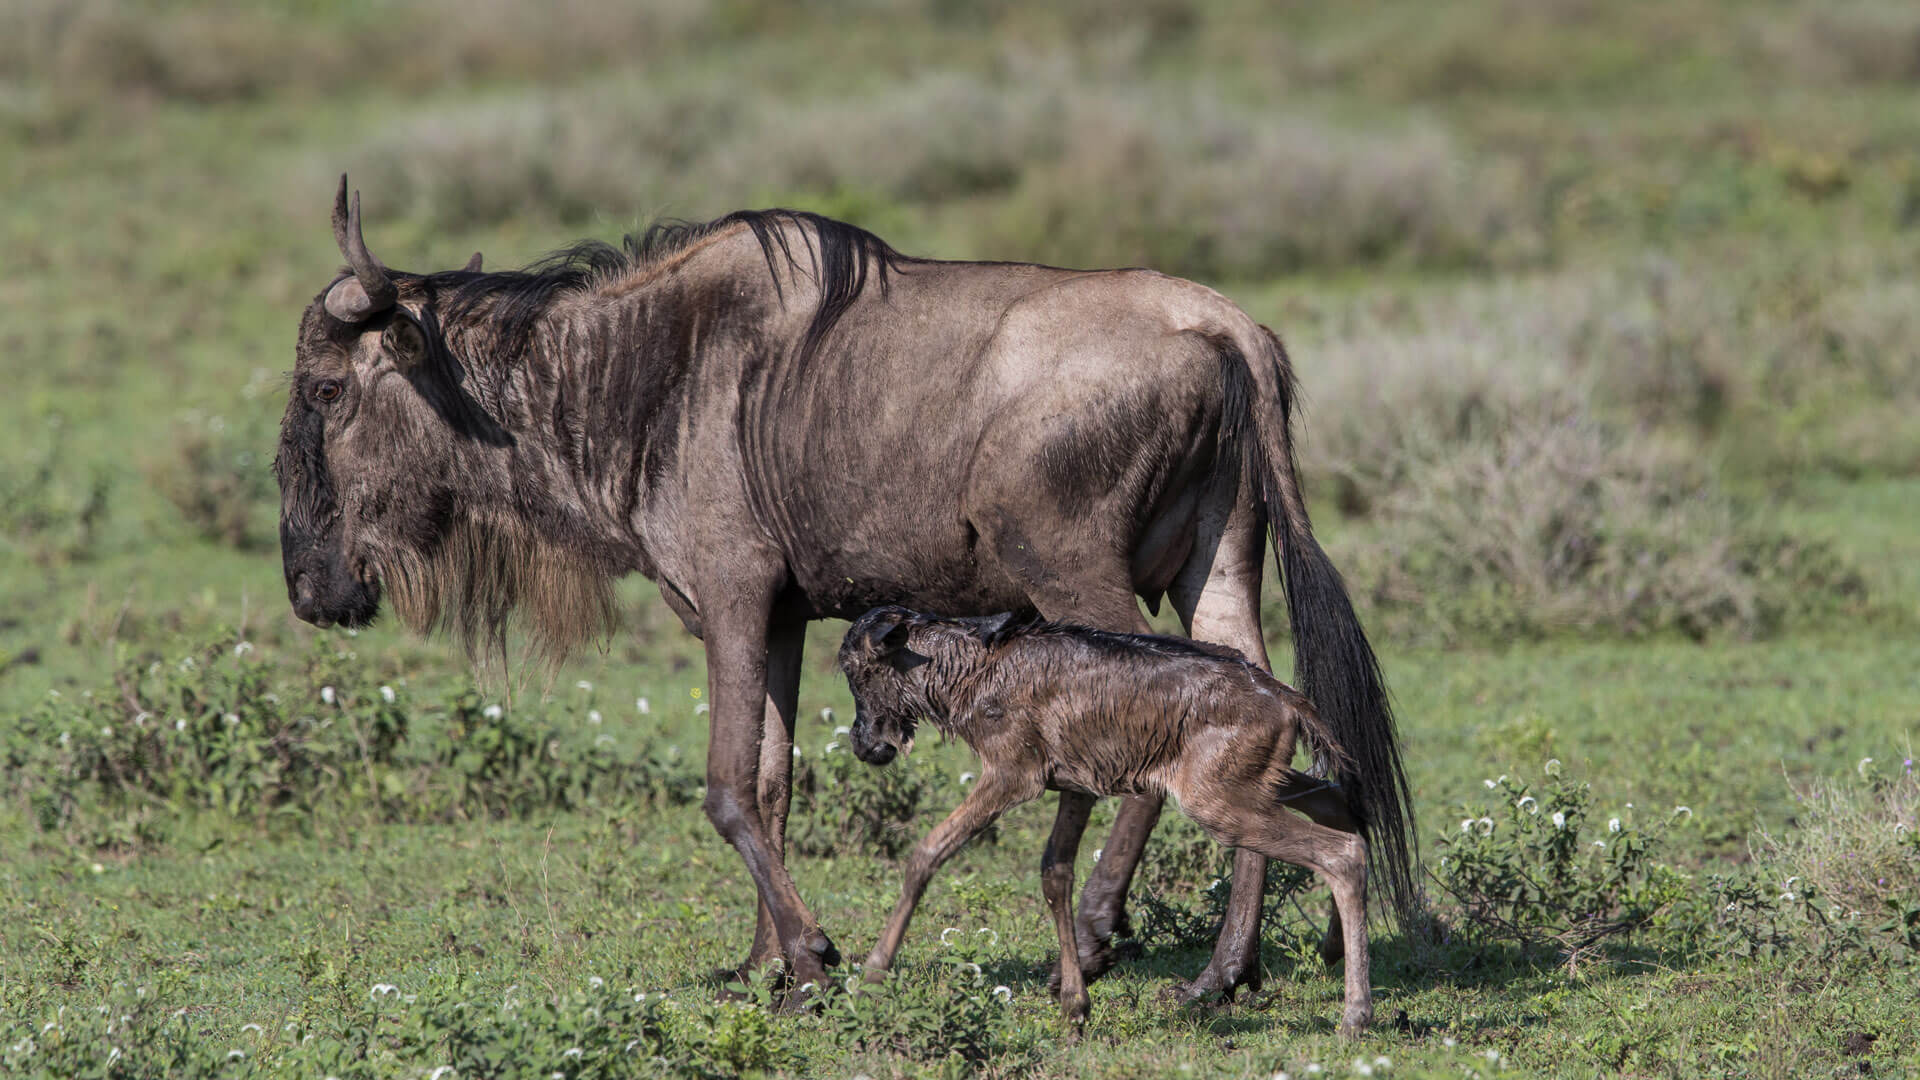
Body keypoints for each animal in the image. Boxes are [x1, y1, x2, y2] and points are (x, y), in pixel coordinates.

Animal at [844, 599, 1382, 1030]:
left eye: (857, 671)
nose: (862, 743)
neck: (968, 668)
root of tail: (1286, 698)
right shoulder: (1071, 787)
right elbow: (1055, 874)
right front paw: (1074, 1006)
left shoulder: (1011, 776)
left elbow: (926, 853)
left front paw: (872, 973)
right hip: (1260, 784)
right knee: (1341, 806)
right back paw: (1334, 949)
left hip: (1219, 803)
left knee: (1341, 854)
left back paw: (1355, 1017)